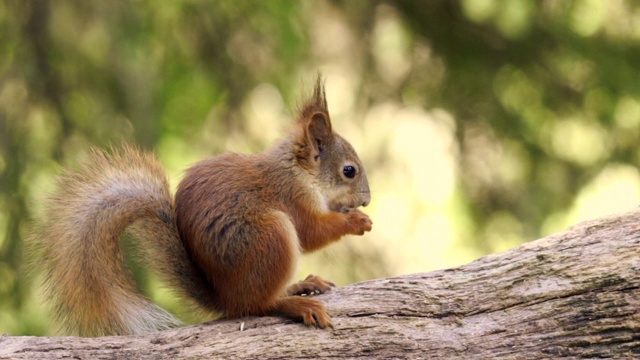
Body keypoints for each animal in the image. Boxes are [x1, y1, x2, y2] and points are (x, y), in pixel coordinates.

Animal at [32, 76, 372, 338]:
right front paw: (357, 221)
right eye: (349, 171)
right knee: (258, 304)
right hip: (272, 236)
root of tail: (224, 298)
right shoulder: (292, 197)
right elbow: (312, 232)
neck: (298, 171)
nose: (367, 200)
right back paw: (295, 303)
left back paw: (302, 285)